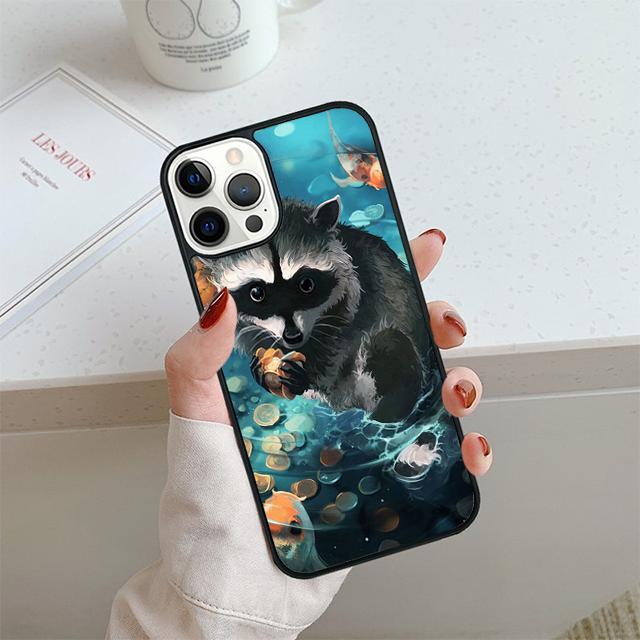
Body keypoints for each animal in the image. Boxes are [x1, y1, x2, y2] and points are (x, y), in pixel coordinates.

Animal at [199, 196, 428, 423]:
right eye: (256, 293)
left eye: (306, 284)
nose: (292, 336)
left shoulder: (354, 300)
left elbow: (335, 353)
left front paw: (307, 377)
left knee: (389, 344)